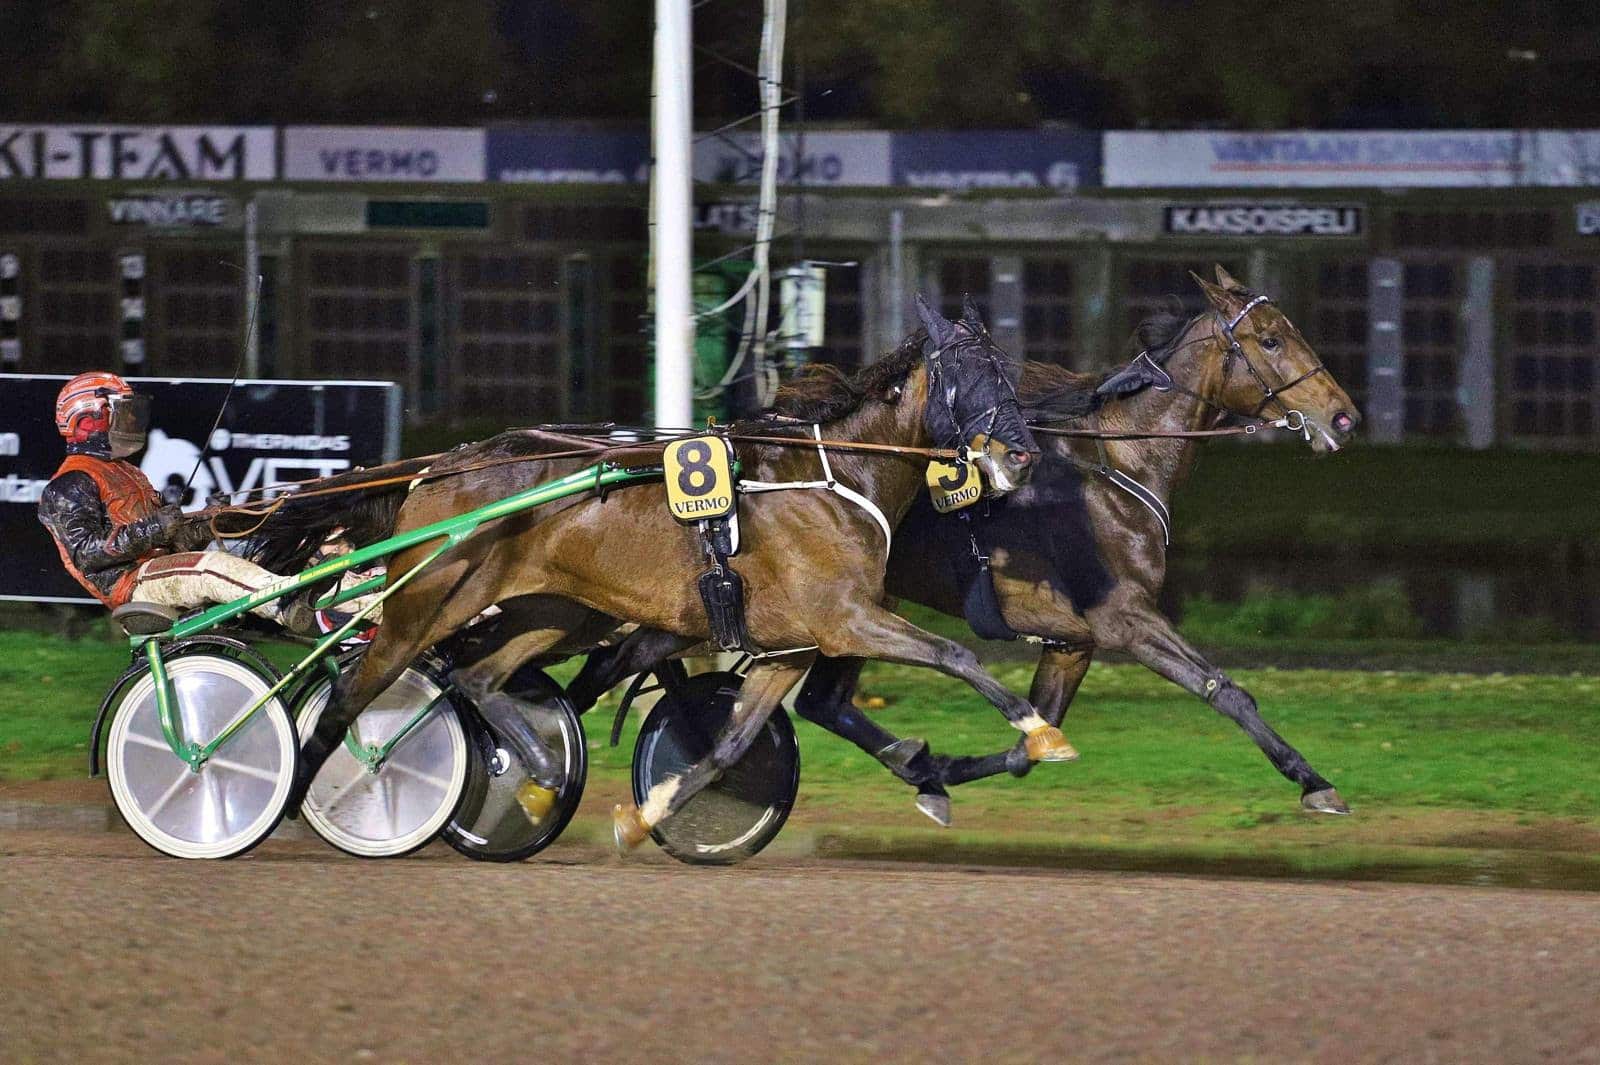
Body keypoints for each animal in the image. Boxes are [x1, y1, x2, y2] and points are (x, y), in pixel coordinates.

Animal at [286, 295, 1062, 844]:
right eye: (969, 376)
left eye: (1009, 374)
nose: (1023, 455)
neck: (836, 477)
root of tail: (439, 468)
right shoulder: (845, 621)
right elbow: (956, 652)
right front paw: (1040, 731)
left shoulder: (791, 646)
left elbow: (728, 747)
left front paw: (643, 816)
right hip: (425, 604)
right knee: (357, 689)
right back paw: (301, 794)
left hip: (555, 612)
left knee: (478, 676)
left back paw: (540, 773)